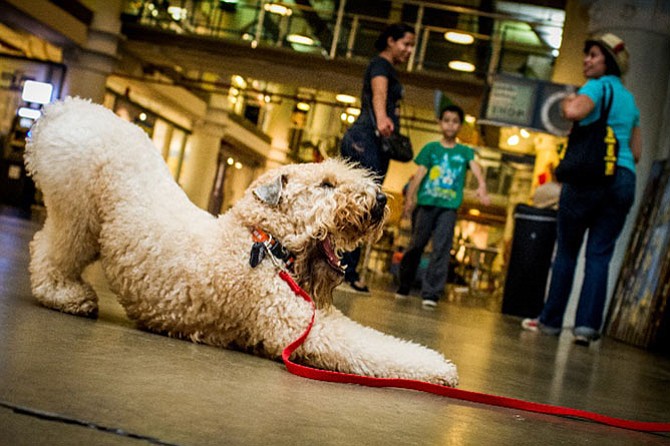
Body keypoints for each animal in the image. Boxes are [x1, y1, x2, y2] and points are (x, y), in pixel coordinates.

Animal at [25, 97, 456, 386]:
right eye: (326, 184)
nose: (381, 200)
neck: (264, 242)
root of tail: (61, 110)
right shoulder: (306, 327)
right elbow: (376, 348)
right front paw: (441, 368)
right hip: (76, 218)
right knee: (47, 252)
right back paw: (69, 296)